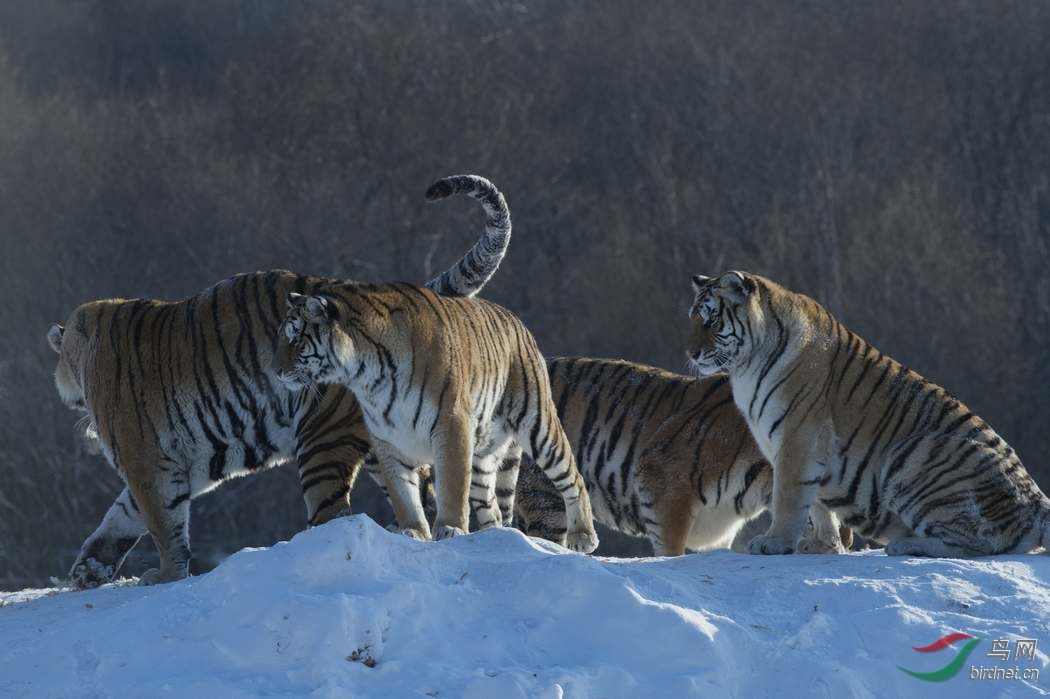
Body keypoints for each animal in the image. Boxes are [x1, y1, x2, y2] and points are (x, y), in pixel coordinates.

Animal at [48, 174, 513, 587]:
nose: (57, 381)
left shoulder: (146, 460)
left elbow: (161, 523)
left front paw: (163, 575)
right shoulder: (184, 462)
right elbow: (123, 515)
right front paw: (91, 567)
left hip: (321, 439)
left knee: (333, 511)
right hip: (387, 440)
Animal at [271, 178, 599, 552]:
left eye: (295, 339)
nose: (275, 371)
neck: (366, 376)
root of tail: (516, 320)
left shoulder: (451, 423)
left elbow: (452, 487)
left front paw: (451, 529)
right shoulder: (386, 436)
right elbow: (404, 494)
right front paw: (413, 532)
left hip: (536, 422)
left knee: (571, 474)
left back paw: (582, 536)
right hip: (485, 447)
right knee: (492, 505)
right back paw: (493, 537)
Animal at [686, 270, 1050, 557]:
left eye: (712, 320)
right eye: (692, 319)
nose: (690, 353)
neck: (745, 365)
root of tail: (1035, 500)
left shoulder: (798, 437)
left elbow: (789, 495)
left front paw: (774, 542)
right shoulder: (793, 445)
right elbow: (818, 504)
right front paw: (822, 545)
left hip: (914, 454)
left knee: (978, 543)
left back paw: (907, 545)